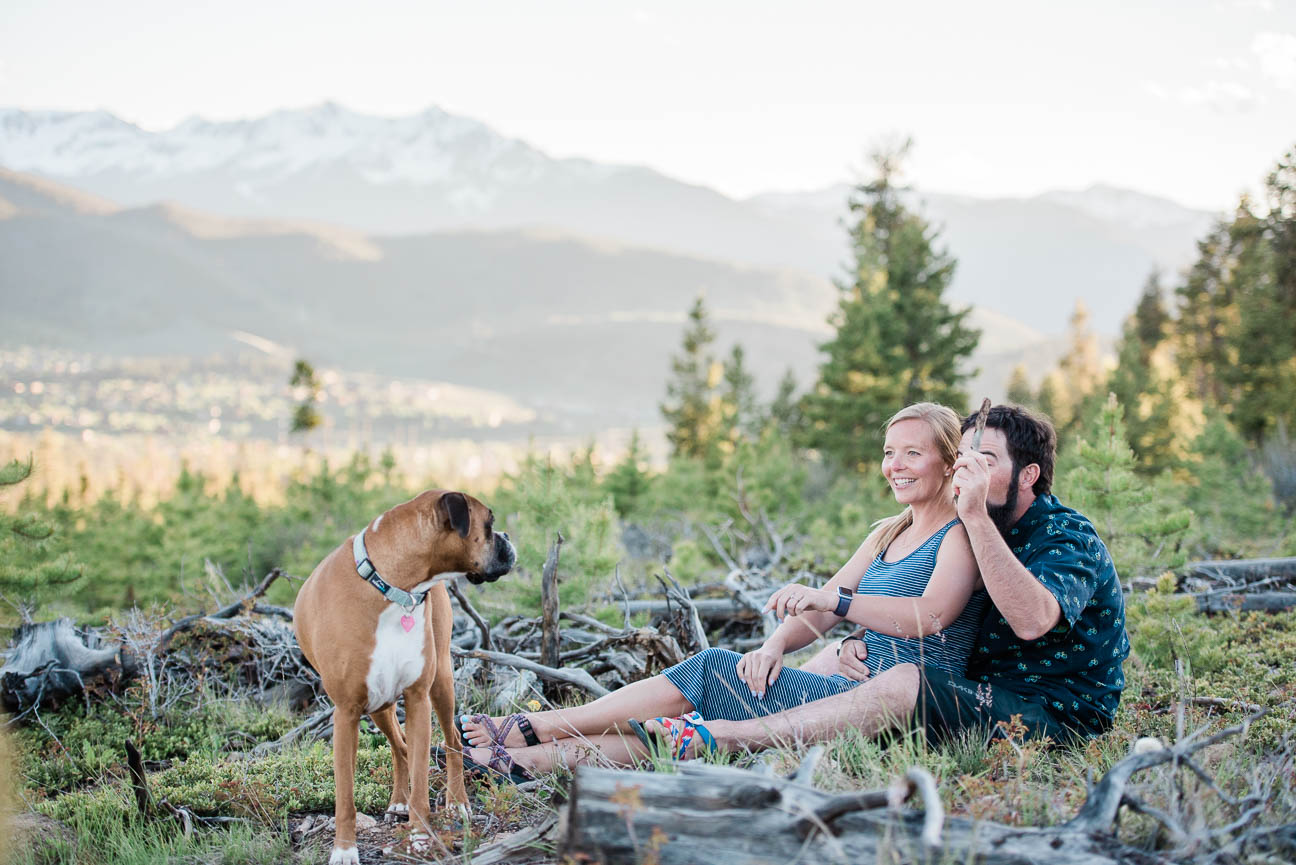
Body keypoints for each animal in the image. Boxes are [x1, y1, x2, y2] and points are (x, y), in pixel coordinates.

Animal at [295, 490, 515, 861]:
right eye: (490, 523)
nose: (508, 538)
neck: (391, 587)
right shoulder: (347, 713)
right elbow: (345, 795)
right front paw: (344, 850)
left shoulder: (417, 700)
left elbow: (422, 782)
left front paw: (421, 837)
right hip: (379, 706)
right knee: (399, 747)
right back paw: (398, 802)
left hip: (441, 685)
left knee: (452, 742)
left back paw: (457, 804)